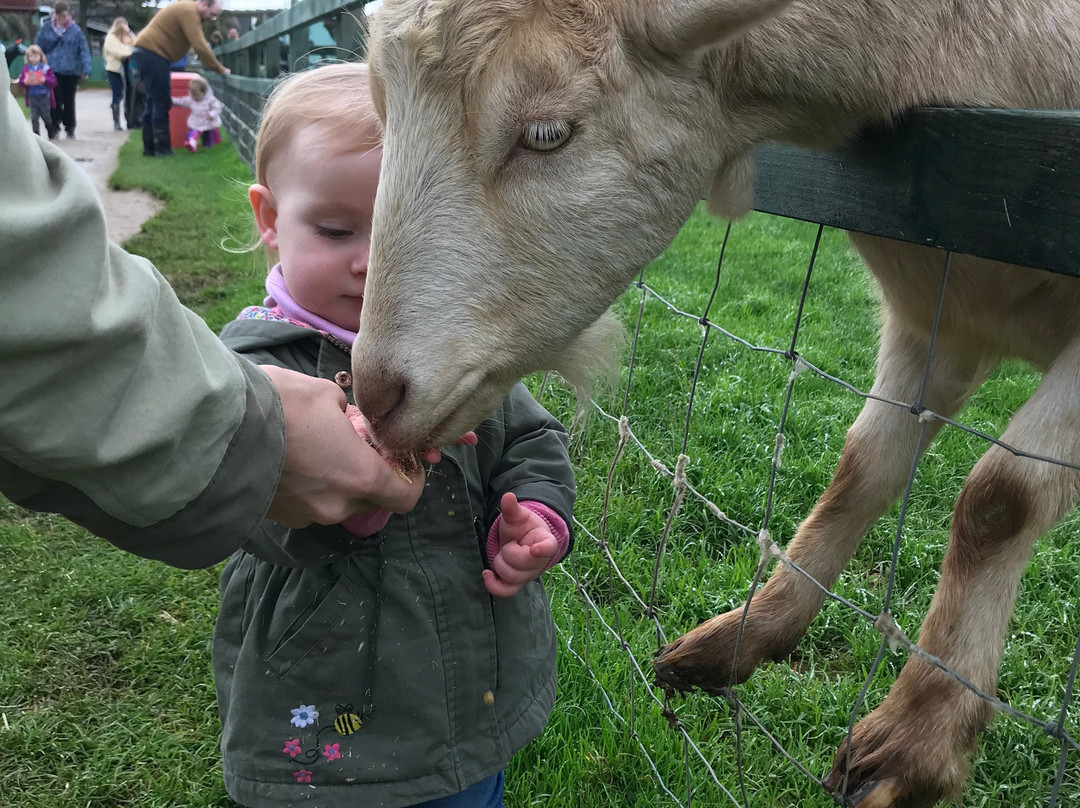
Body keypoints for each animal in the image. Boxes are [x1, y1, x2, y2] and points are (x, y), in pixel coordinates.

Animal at [354, 3, 1080, 803]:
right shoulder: (937, 323)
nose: (376, 394)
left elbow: (1000, 497)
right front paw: (751, 631)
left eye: (547, 133)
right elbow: (863, 463)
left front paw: (917, 734)